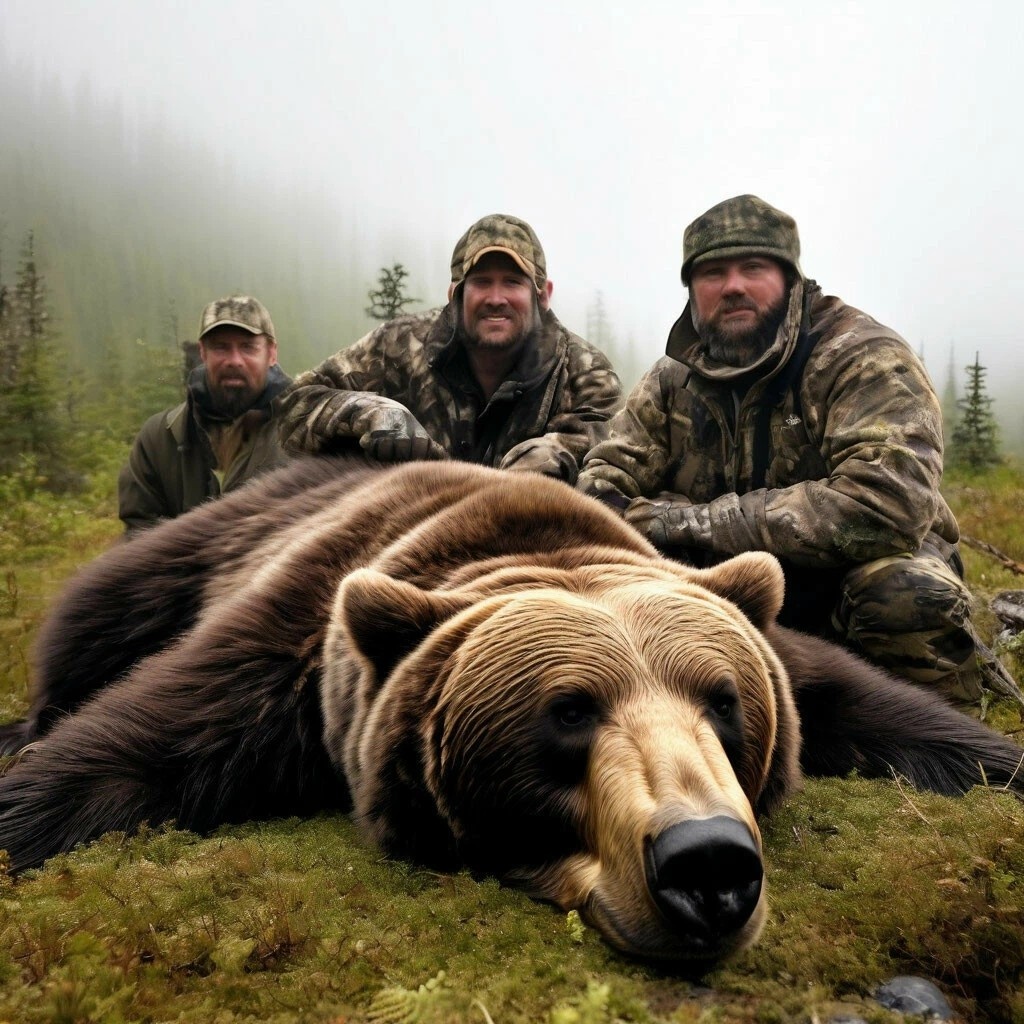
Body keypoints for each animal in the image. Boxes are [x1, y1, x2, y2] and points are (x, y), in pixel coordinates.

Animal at [2, 456, 1024, 958]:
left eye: (724, 702)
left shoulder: (778, 650)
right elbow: (145, 741)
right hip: (198, 548)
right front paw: (25, 808)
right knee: (98, 614)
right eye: (568, 712)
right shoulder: (294, 641)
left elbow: (885, 708)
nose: (709, 863)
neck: (536, 545)